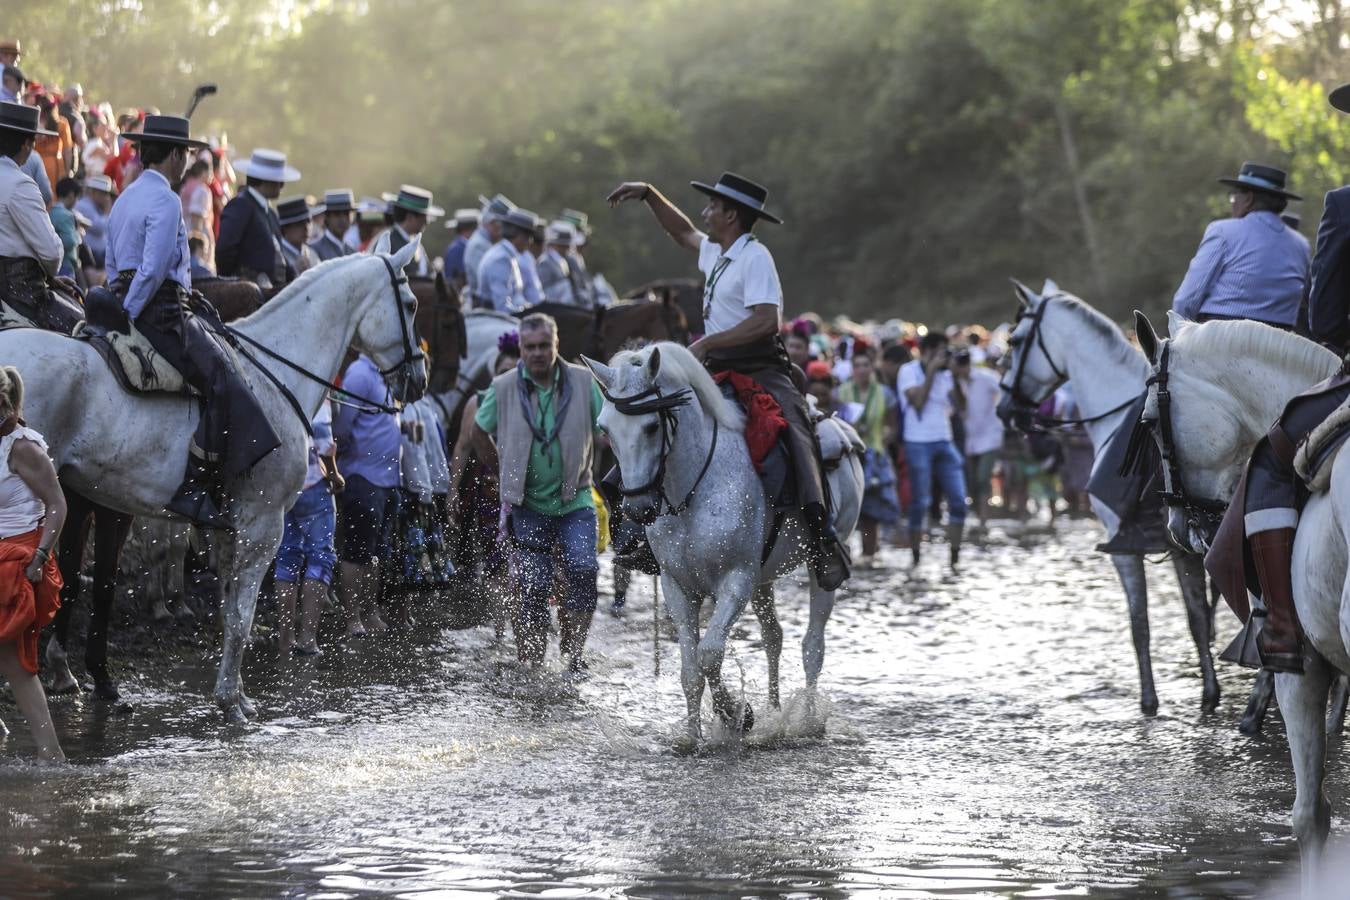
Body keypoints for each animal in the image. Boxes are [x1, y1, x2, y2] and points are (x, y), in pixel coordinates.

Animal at [1, 241, 426, 723]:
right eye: (411, 304)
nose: (420, 379)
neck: (274, 375)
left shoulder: (227, 529)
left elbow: (228, 610)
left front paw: (236, 694)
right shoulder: (263, 524)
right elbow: (242, 615)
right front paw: (231, 703)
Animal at [583, 341, 858, 744]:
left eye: (652, 426)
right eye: (605, 428)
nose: (637, 508)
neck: (694, 489)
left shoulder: (735, 581)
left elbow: (710, 653)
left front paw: (735, 715)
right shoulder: (678, 585)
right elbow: (690, 669)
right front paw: (694, 735)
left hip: (815, 567)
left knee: (813, 646)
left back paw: (806, 719)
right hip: (762, 579)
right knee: (773, 636)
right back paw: (775, 709)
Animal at [993, 282, 1225, 717]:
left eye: (1014, 341)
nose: (1004, 409)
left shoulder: (1124, 547)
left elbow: (1140, 624)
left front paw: (1149, 701)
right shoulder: (1183, 547)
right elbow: (1198, 618)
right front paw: (1209, 695)